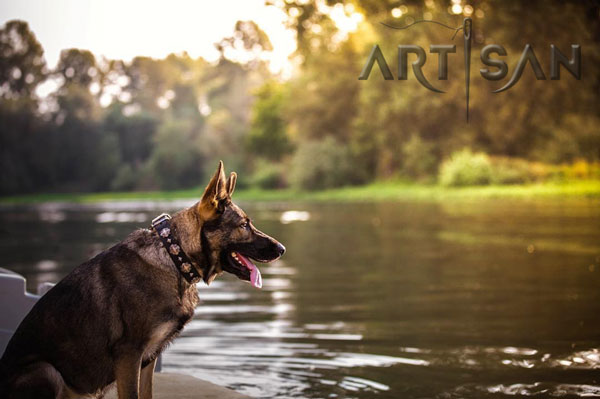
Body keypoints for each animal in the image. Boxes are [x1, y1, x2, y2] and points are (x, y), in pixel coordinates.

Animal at [0, 162, 286, 399]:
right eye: (245, 225)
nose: (282, 249)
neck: (175, 257)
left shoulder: (148, 359)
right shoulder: (129, 355)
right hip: (46, 371)